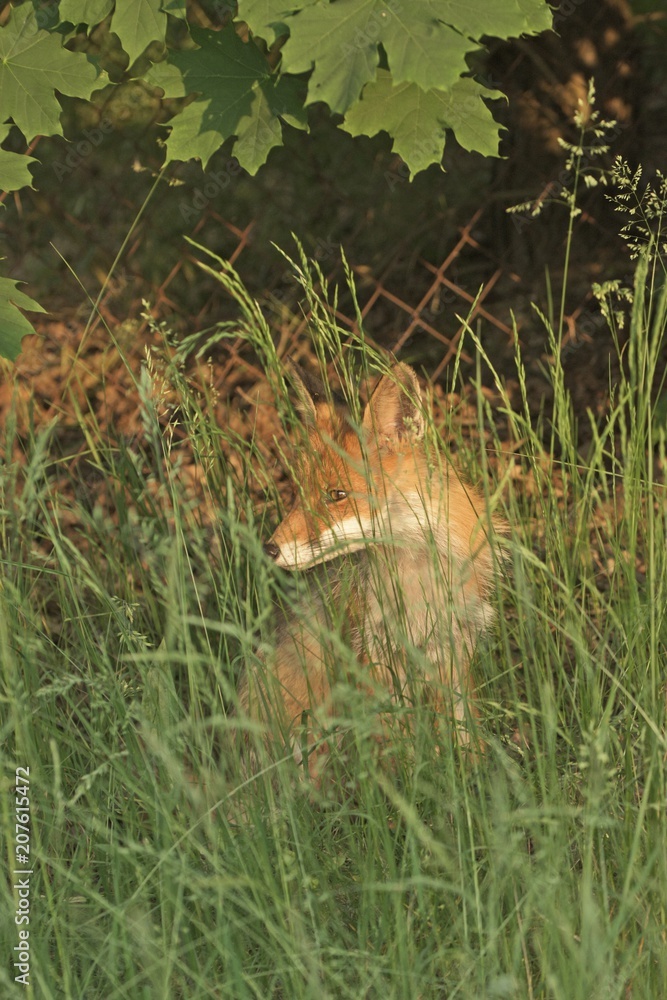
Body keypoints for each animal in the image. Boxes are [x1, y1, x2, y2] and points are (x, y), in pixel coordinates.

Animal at [238, 360, 502, 776]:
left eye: (337, 495)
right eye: (298, 492)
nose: (270, 549)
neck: (415, 581)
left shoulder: (453, 648)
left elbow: (463, 732)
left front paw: (474, 776)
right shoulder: (371, 656)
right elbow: (397, 748)